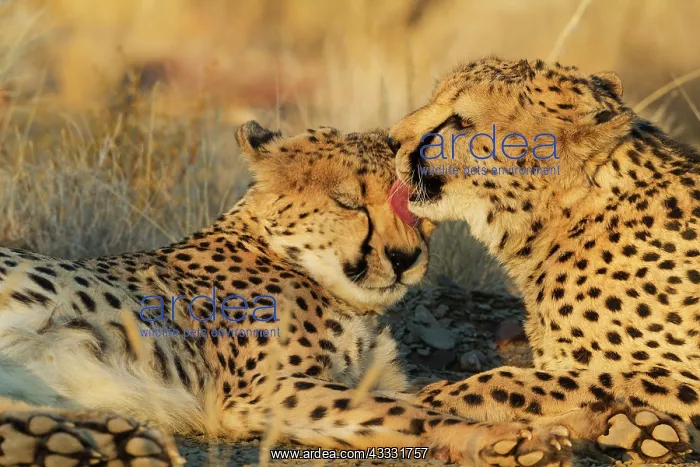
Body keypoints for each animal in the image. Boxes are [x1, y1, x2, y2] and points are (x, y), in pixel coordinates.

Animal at [0, 121, 575, 466]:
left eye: (416, 207)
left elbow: (441, 395)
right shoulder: (259, 393)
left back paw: (102, 439)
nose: (405, 258)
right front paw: (504, 441)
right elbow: (406, 411)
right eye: (349, 203)